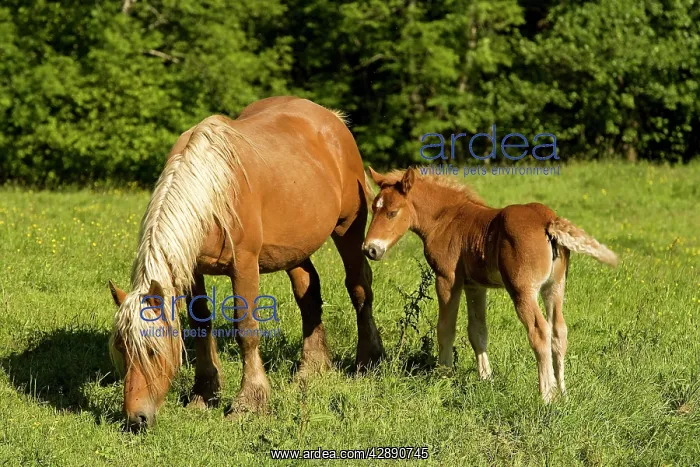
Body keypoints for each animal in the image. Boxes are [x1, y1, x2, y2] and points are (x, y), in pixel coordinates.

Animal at [108, 96, 385, 432]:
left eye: (151, 350)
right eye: (121, 348)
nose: (137, 418)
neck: (213, 187)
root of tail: (332, 119)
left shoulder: (245, 265)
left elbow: (246, 329)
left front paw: (250, 402)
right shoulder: (194, 270)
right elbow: (200, 323)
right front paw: (204, 392)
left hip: (348, 230)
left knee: (359, 288)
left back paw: (368, 360)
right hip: (294, 248)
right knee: (308, 293)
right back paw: (312, 368)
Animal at [362, 167, 617, 402]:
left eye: (393, 212)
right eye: (373, 208)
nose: (370, 249)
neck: (447, 219)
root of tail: (548, 221)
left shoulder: (447, 279)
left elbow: (445, 329)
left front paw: (443, 376)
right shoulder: (475, 285)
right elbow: (477, 331)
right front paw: (486, 379)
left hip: (522, 290)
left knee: (539, 331)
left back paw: (546, 396)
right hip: (554, 287)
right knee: (559, 331)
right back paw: (563, 394)